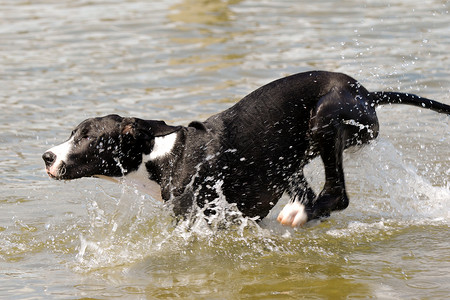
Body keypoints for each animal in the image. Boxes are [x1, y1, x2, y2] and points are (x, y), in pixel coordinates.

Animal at [43, 71, 450, 227]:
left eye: (84, 136)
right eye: (72, 133)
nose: (47, 156)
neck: (163, 156)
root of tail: (366, 93)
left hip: (324, 118)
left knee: (337, 193)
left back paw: (302, 213)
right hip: (289, 156)